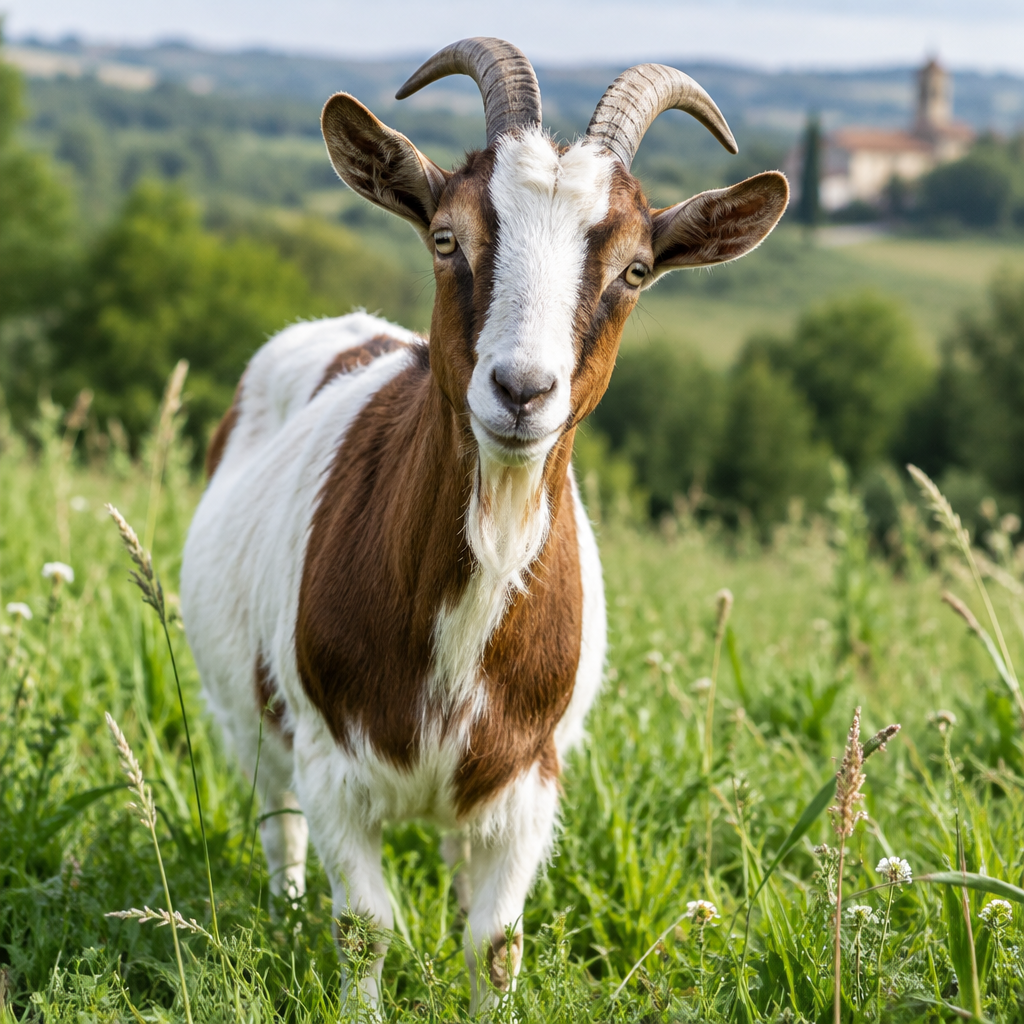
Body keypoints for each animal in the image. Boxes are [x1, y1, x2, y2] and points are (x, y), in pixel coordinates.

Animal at [180, 37, 788, 1013]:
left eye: (635, 270)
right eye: (445, 236)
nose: (521, 390)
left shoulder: (531, 780)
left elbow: (495, 942)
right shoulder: (332, 760)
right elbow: (365, 929)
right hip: (251, 712)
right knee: (280, 826)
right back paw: (281, 917)